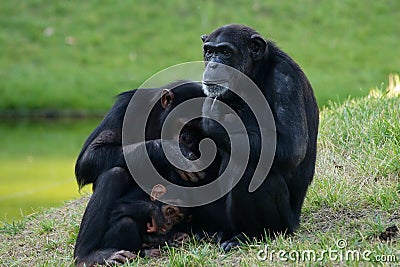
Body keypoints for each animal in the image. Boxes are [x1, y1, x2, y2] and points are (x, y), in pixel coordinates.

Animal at [198, 24, 318, 251]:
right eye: (209, 52)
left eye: (225, 52)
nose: (213, 64)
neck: (254, 74)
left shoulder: (285, 79)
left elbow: (292, 146)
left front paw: (213, 120)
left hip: (286, 224)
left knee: (250, 168)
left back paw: (251, 235)